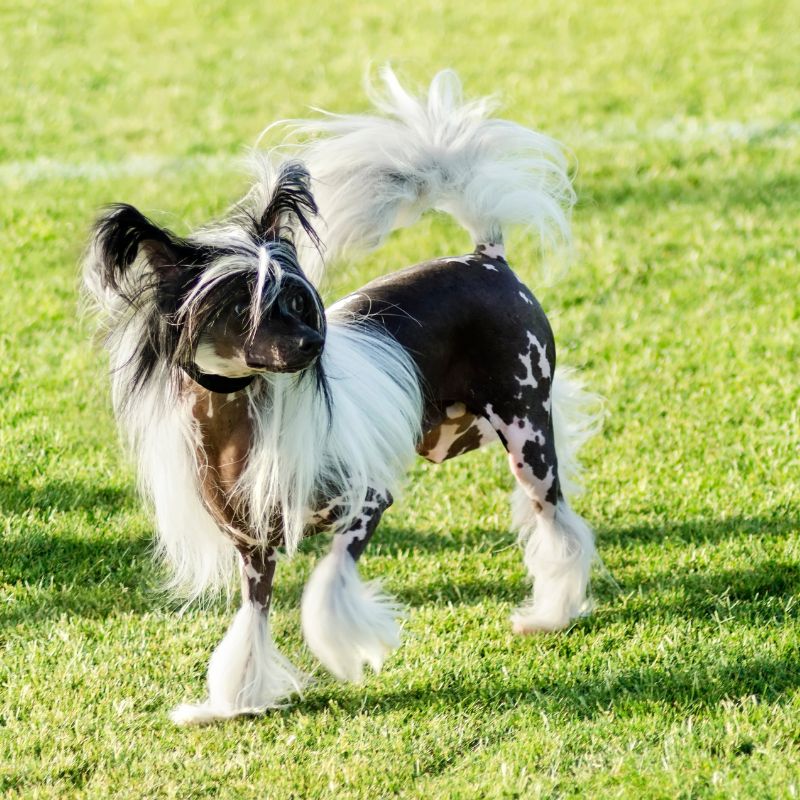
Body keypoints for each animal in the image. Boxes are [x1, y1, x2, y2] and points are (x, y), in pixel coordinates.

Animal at [86, 70, 600, 724]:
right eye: (240, 306)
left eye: (294, 299)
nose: (312, 343)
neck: (236, 424)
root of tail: (486, 260)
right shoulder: (253, 547)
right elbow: (252, 621)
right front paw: (234, 702)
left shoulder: (366, 502)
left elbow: (325, 586)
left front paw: (342, 648)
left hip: (526, 430)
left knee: (555, 518)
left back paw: (552, 613)